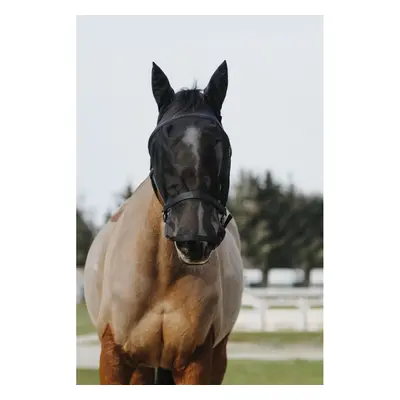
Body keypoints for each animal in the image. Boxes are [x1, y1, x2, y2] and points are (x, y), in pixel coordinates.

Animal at [84, 60, 244, 384]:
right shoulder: (114, 360)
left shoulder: (196, 363)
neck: (161, 277)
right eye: (157, 143)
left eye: (223, 143)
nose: (194, 237)